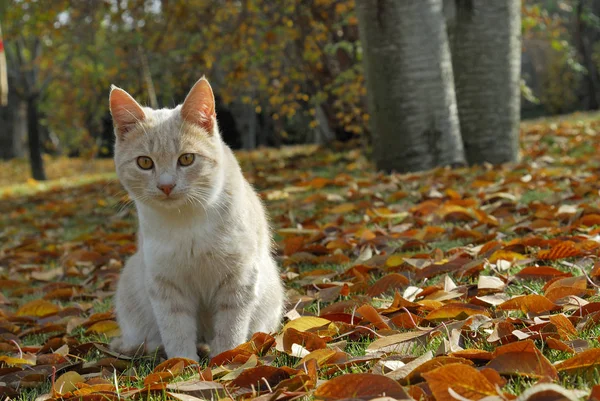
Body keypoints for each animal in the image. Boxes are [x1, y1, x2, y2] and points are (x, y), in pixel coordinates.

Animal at [108, 76, 286, 360]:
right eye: (145, 162)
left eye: (187, 159)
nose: (166, 186)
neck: (186, 222)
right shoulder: (165, 284)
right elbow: (175, 329)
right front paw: (182, 364)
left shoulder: (239, 278)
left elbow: (230, 327)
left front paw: (225, 359)